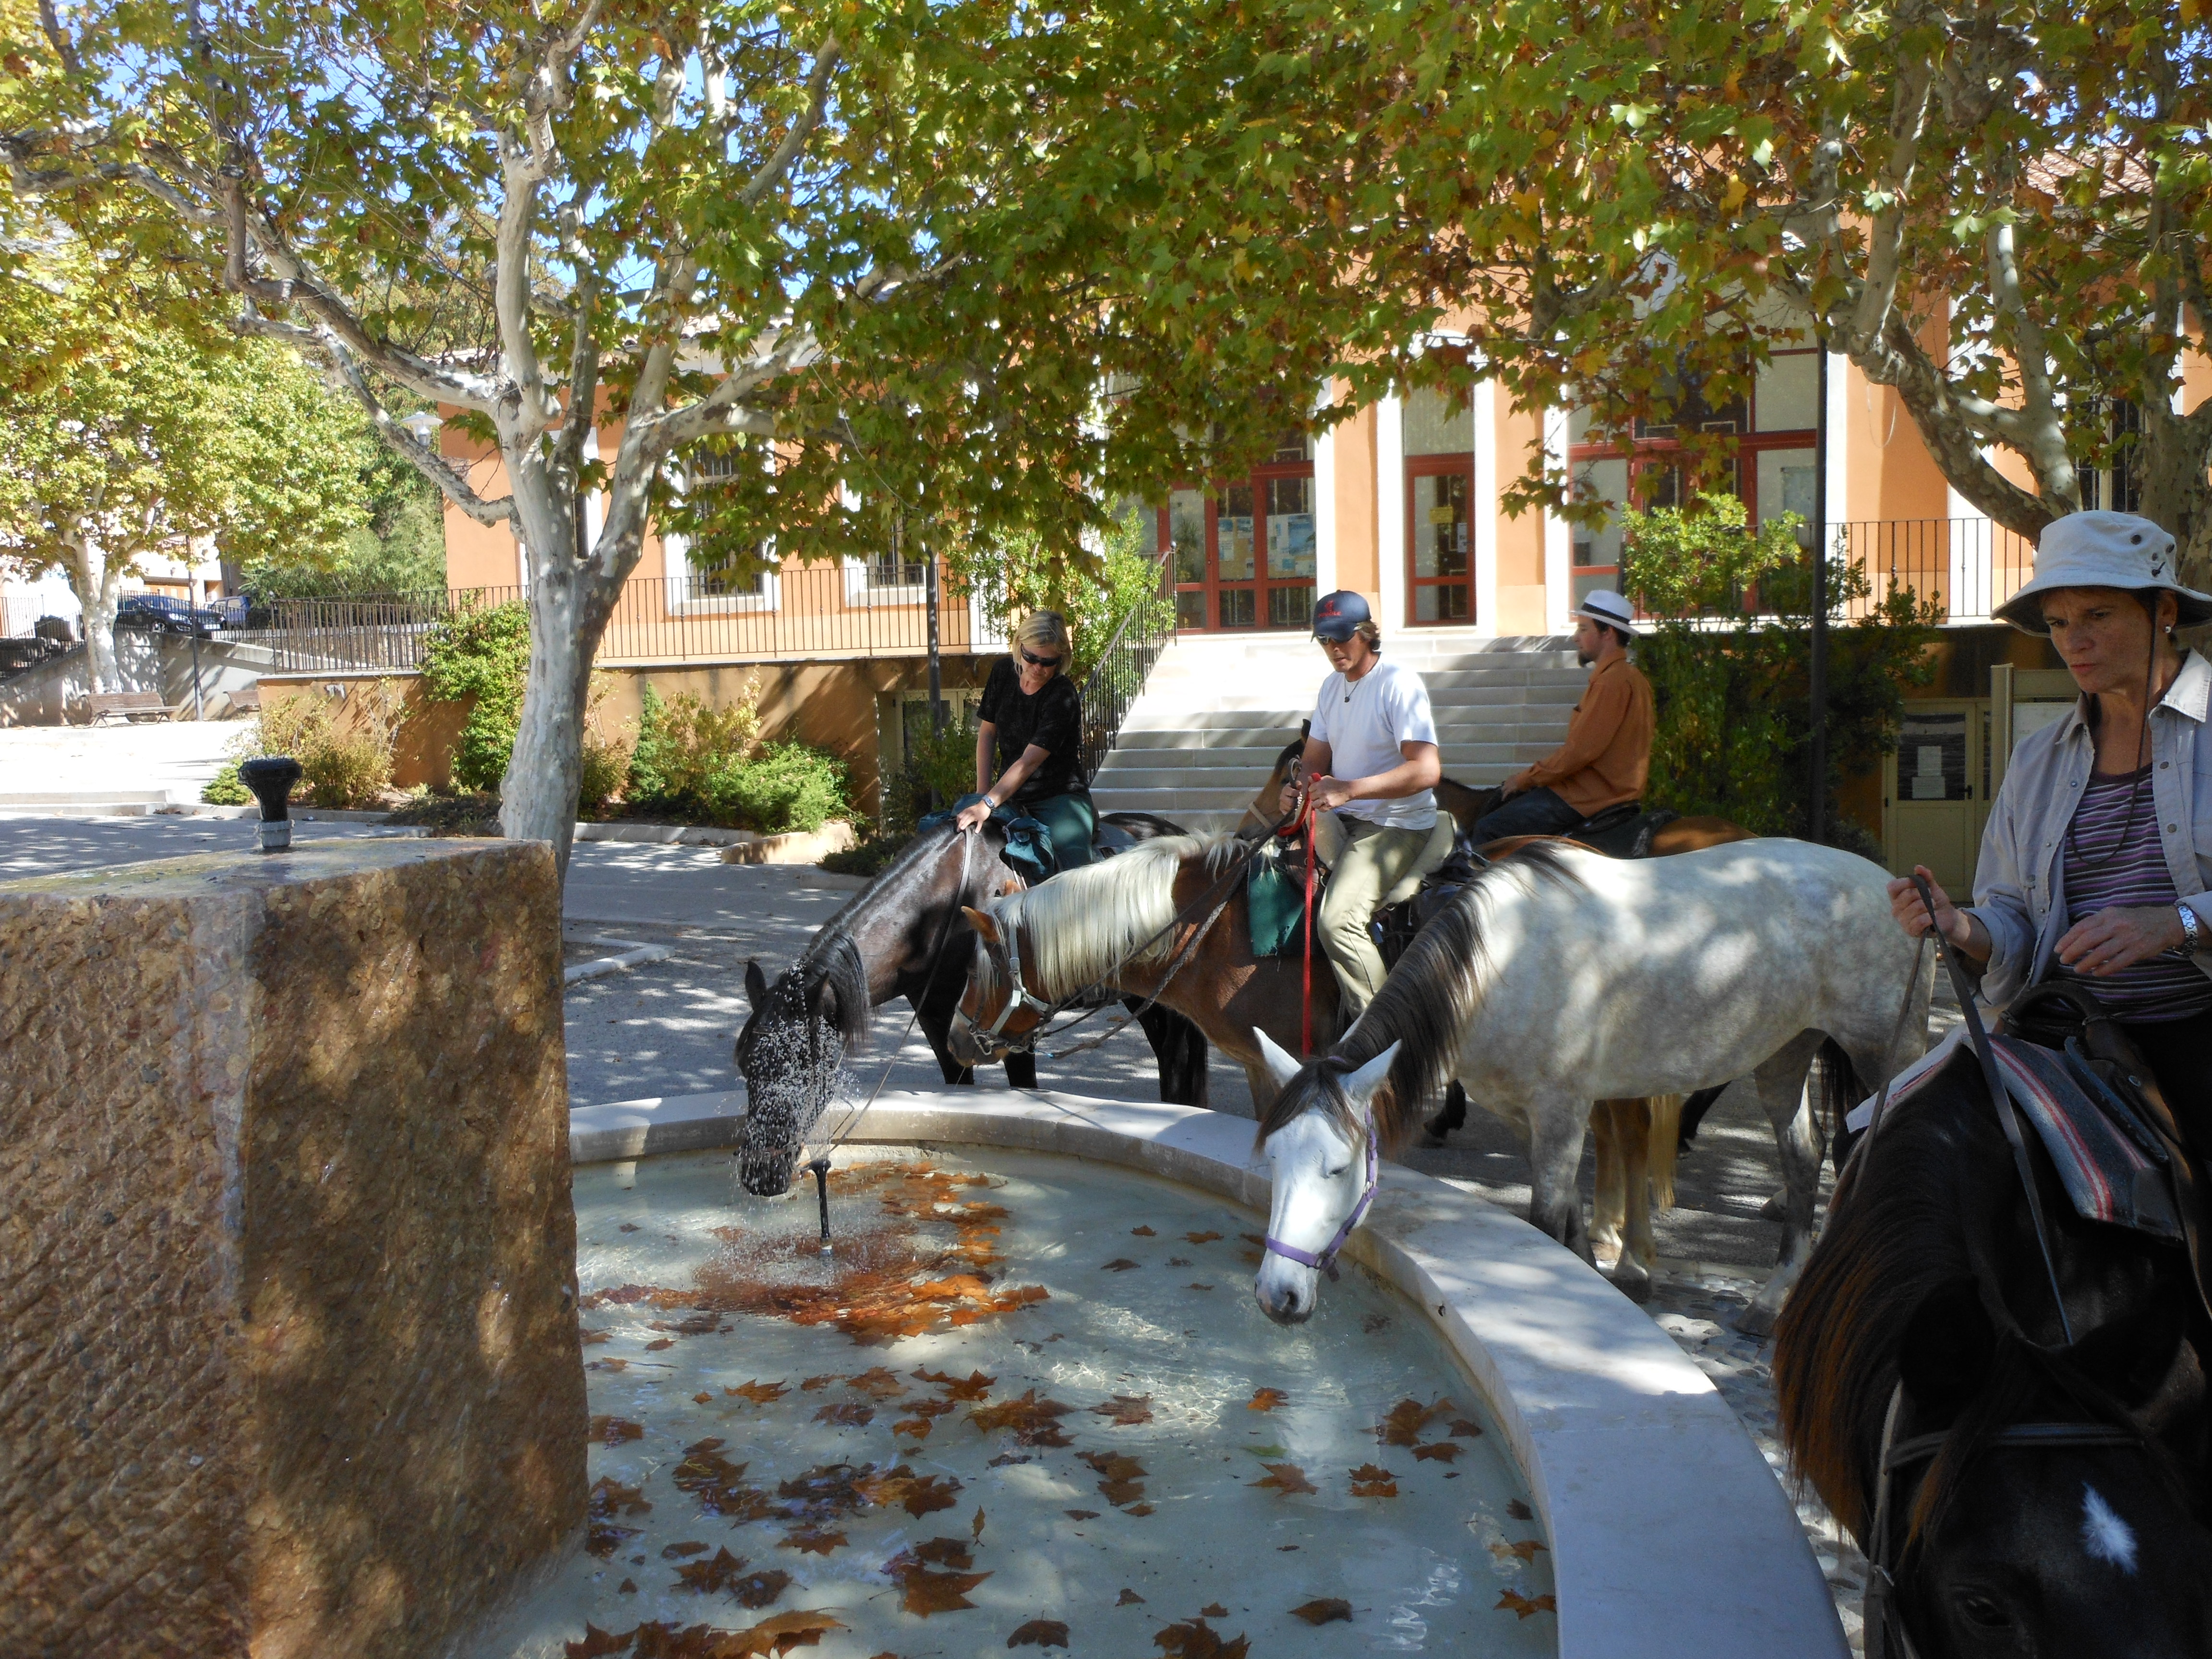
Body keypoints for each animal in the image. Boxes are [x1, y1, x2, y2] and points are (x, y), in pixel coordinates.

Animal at [734, 823, 1203, 1194]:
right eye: (744, 1066)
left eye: (802, 1065)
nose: (759, 1174)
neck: (938, 914)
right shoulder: (938, 1018)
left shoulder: (1013, 1025)